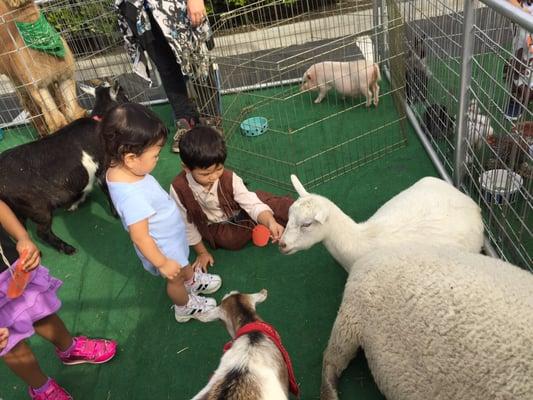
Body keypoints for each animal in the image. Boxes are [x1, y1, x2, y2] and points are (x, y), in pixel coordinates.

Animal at [0, 0, 84, 135]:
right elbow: (57, 121)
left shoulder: (66, 76)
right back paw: (41, 132)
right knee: (31, 107)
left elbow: (75, 112)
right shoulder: (37, 86)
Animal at [0, 82, 128, 253]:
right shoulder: (102, 167)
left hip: (14, 208)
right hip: (37, 207)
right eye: (124, 96)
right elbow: (107, 190)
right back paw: (67, 248)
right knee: (42, 232)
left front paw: (76, 202)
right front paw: (115, 214)